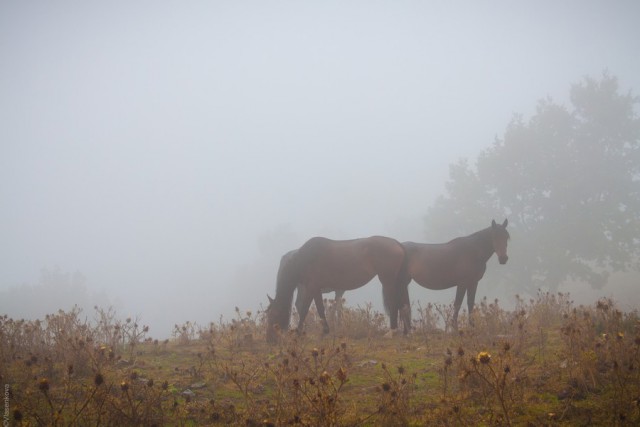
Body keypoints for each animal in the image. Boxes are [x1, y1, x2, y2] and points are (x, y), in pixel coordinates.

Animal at [266, 236, 408, 342]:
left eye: (273, 314)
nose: (270, 339)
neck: (305, 258)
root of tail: (397, 244)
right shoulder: (315, 288)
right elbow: (320, 309)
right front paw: (325, 331)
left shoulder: (311, 287)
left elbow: (306, 309)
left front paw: (298, 332)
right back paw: (404, 332)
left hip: (388, 280)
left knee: (394, 302)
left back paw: (392, 331)